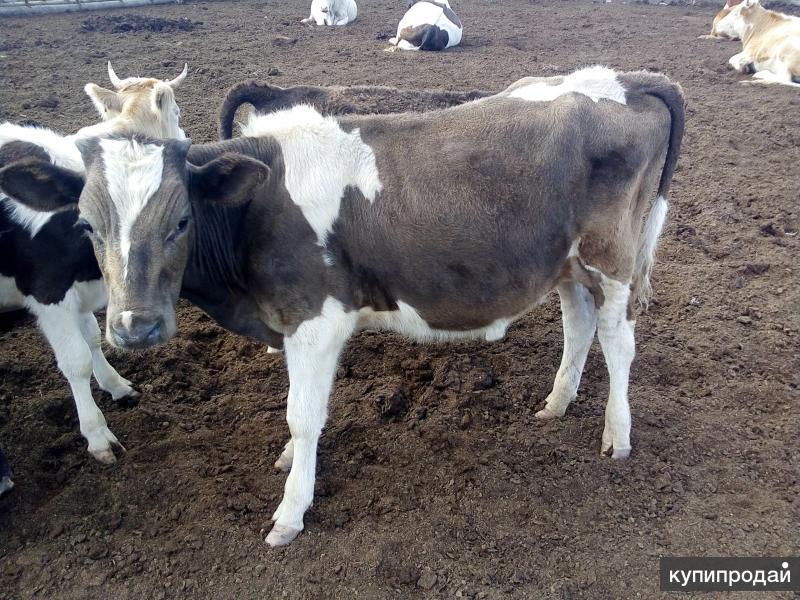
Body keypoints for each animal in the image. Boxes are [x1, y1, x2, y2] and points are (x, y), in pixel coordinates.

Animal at [0, 62, 188, 464]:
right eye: (177, 113)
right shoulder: (47, 293)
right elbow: (76, 359)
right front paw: (97, 434)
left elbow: (91, 338)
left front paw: (116, 385)